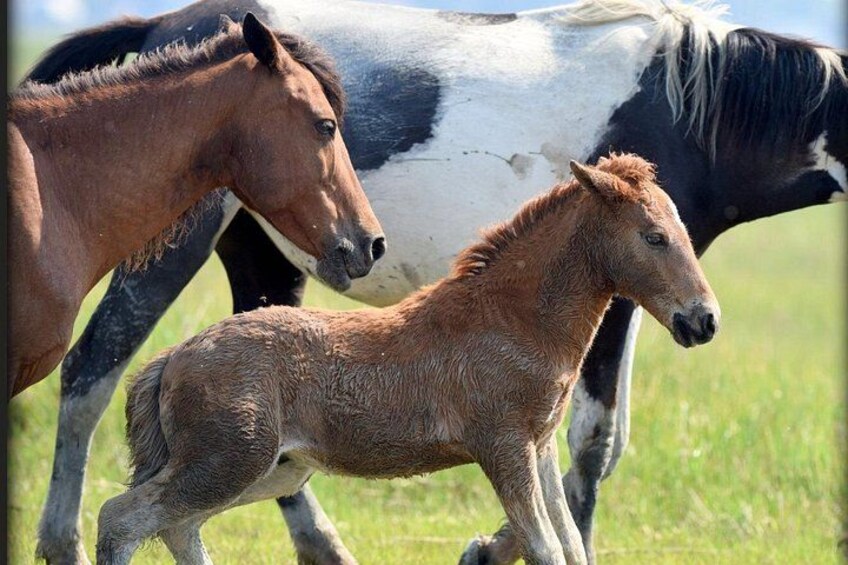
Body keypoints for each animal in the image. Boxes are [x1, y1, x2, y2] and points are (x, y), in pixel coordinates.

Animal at [96, 154, 719, 565]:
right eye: (654, 236)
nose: (704, 320)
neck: (513, 318)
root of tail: (173, 357)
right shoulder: (503, 447)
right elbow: (545, 547)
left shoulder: (538, 447)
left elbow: (568, 545)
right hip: (228, 462)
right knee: (123, 519)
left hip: (274, 468)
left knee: (179, 527)